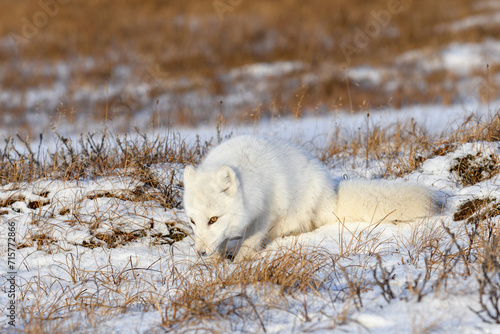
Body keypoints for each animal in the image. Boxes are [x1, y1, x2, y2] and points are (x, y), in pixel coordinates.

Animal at [184, 135, 442, 260]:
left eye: (213, 219)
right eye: (193, 221)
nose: (200, 253)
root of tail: (331, 196)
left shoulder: (266, 213)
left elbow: (250, 241)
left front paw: (238, 264)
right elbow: (222, 242)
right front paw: (216, 262)